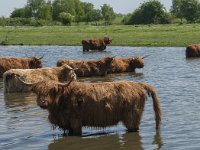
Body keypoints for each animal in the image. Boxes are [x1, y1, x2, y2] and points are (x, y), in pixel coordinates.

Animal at [18, 78, 162, 136]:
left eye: (52, 91)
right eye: (38, 91)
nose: (42, 102)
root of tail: (138, 85)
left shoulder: (76, 122)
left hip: (132, 117)